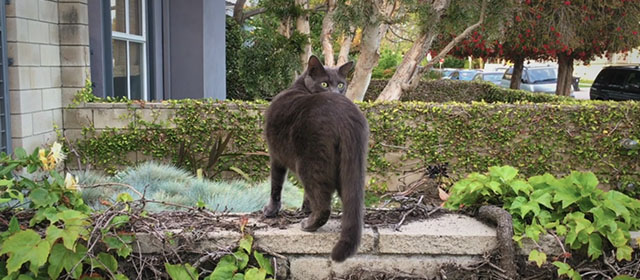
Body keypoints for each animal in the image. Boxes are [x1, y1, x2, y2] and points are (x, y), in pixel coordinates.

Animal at [262, 55, 370, 262]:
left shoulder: (275, 155)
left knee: (323, 204)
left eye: (341, 85)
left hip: (309, 163)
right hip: (351, 166)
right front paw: (305, 207)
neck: (298, 87)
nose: (337, 92)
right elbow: (305, 194)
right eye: (325, 83)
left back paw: (308, 224)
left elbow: (275, 186)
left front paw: (271, 210)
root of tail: (345, 116)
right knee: (352, 203)